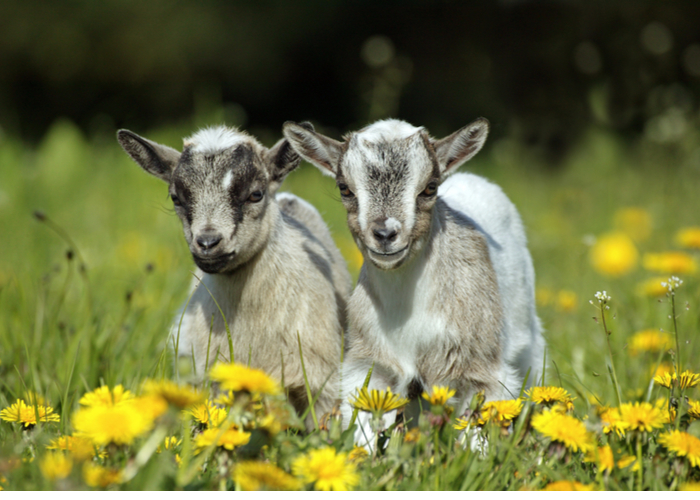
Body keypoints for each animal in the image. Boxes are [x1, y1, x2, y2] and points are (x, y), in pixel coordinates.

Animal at [283, 118, 545, 444]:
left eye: (430, 187)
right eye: (344, 188)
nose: (385, 234)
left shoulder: (483, 370)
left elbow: (477, 434)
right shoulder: (371, 363)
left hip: (527, 339)